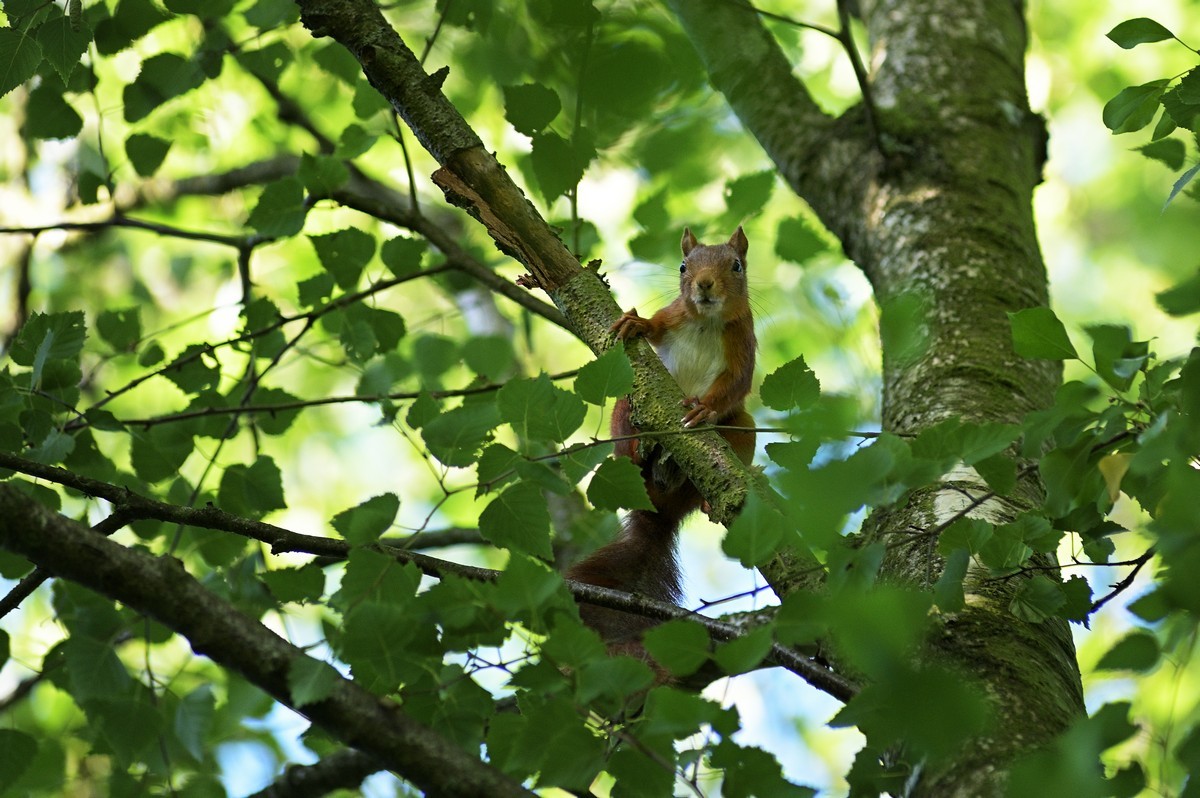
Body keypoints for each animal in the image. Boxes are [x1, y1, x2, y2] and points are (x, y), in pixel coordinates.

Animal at [566, 226, 753, 657]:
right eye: (683, 266)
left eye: (736, 266)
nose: (704, 284)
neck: (705, 322)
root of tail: (661, 511)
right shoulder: (674, 314)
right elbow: (655, 327)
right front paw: (635, 323)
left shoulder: (743, 340)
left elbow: (737, 384)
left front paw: (704, 410)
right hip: (625, 402)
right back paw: (639, 453)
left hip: (744, 431)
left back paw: (705, 499)